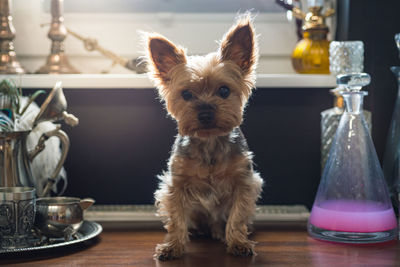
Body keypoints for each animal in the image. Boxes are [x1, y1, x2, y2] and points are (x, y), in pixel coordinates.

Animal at [145, 15, 264, 262]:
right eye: (186, 94)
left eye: (224, 90)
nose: (206, 114)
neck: (210, 142)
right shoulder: (175, 185)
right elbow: (175, 219)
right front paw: (172, 247)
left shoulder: (244, 182)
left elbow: (237, 216)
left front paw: (238, 243)